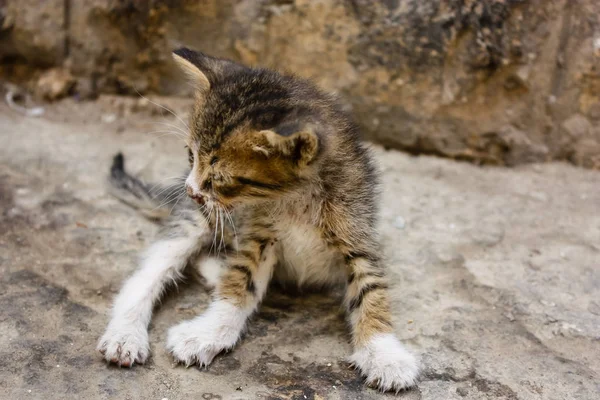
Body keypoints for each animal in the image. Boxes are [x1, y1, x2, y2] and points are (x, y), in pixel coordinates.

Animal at [97, 48, 418, 392]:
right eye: (191, 156)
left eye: (221, 179)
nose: (191, 190)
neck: (295, 199)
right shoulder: (259, 237)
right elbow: (240, 282)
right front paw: (208, 333)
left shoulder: (356, 234)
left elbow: (371, 292)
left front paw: (384, 354)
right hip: (198, 220)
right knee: (147, 274)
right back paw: (125, 334)